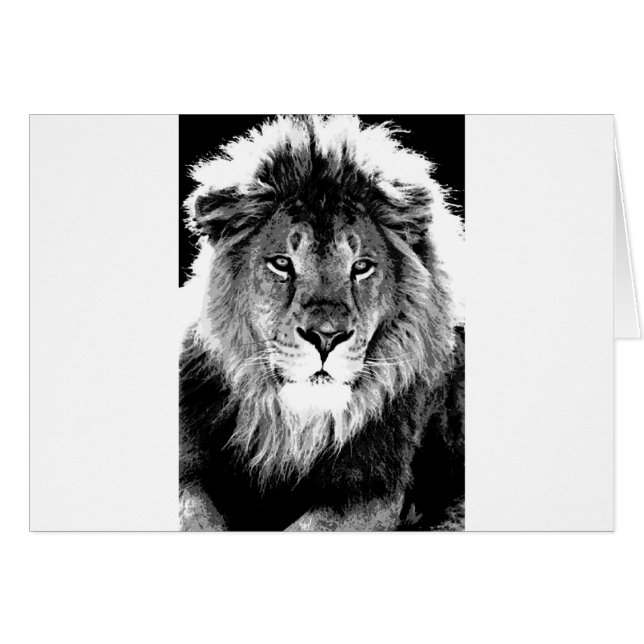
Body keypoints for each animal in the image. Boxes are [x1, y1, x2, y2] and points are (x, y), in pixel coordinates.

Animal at [179, 115, 464, 531]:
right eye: (282, 263)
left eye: (360, 267)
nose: (326, 338)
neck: (294, 428)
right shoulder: (188, 468)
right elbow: (194, 516)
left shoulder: (372, 491)